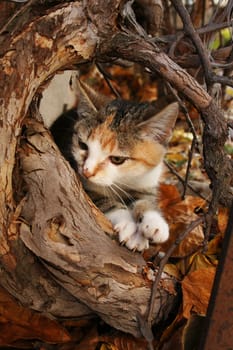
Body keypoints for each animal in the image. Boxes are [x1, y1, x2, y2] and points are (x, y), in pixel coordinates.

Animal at [51, 79, 178, 250]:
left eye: (117, 159)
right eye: (83, 145)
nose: (87, 171)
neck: (122, 180)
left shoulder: (147, 179)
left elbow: (146, 198)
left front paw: (155, 222)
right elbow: (102, 200)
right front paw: (130, 228)